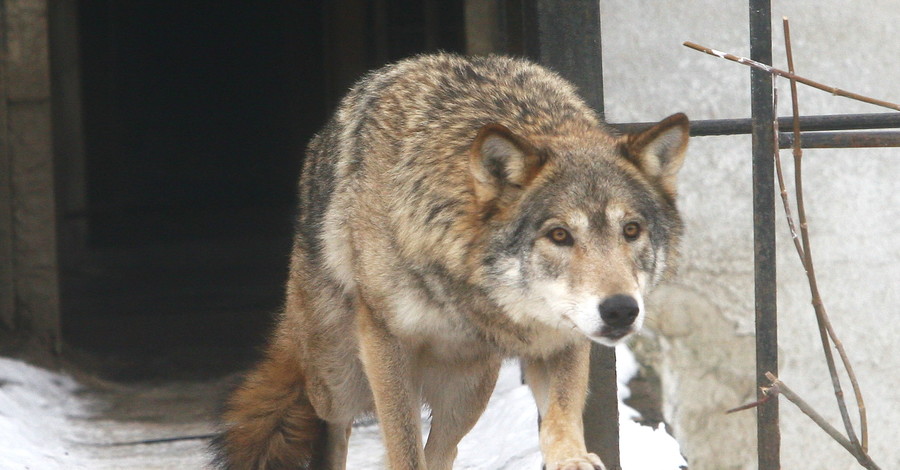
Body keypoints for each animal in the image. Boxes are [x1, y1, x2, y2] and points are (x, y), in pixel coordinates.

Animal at [214, 53, 692, 468]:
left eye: (631, 230)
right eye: (559, 235)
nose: (621, 310)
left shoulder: (559, 338)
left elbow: (561, 418)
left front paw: (572, 460)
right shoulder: (385, 342)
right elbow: (404, 448)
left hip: (468, 391)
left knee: (444, 450)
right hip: (338, 380)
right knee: (332, 431)